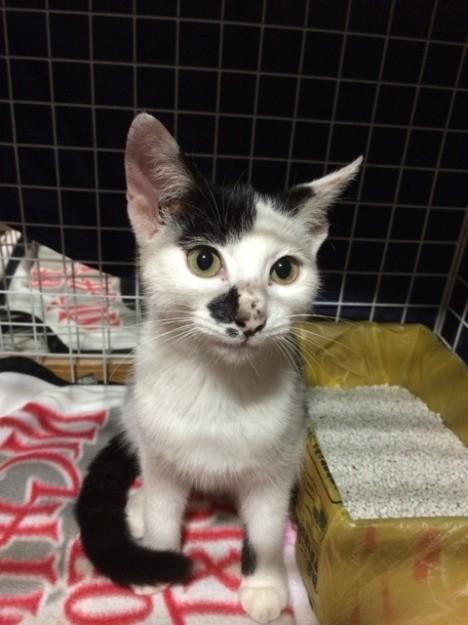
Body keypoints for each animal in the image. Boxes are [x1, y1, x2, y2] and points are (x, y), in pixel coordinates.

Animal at [75, 112, 361, 624]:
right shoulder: (161, 454)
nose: (250, 317)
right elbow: (165, 512)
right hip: (135, 414)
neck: (217, 386)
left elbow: (266, 528)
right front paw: (157, 562)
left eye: (284, 270)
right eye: (204, 260)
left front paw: (265, 584)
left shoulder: (279, 457)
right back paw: (137, 508)